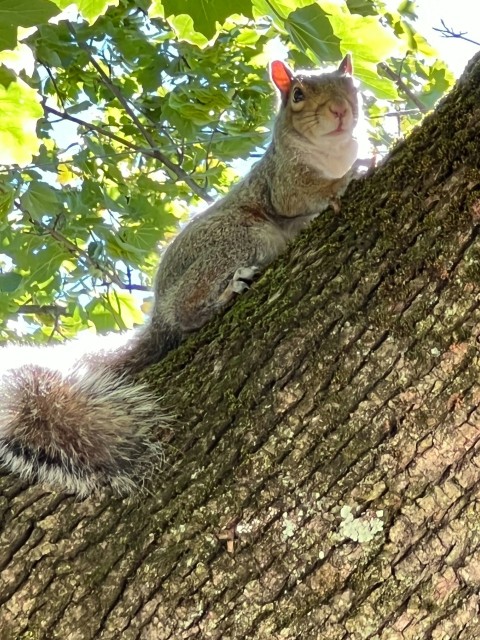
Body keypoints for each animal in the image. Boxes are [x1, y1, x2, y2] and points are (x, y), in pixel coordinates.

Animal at [0, 55, 360, 498]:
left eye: (351, 85)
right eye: (298, 94)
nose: (339, 111)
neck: (331, 151)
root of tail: (159, 315)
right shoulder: (281, 180)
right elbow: (303, 196)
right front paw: (350, 176)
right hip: (237, 237)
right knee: (188, 312)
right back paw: (225, 295)